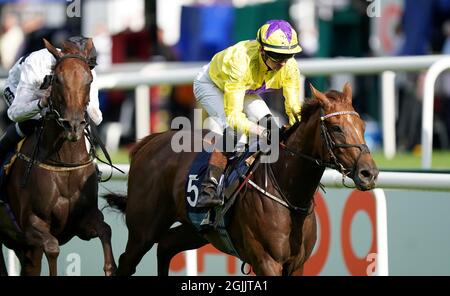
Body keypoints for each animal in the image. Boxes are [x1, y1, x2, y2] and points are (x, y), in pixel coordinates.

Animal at [0, 38, 116, 276]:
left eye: (89, 80)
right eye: (57, 80)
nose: (73, 125)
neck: (64, 164)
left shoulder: (83, 222)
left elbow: (106, 231)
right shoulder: (32, 228)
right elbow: (52, 248)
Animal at [104, 82, 376, 276]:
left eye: (363, 125)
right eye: (336, 128)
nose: (369, 173)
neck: (289, 193)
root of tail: (150, 141)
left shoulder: (296, 264)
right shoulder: (267, 262)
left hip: (196, 230)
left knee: (166, 246)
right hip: (143, 230)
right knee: (127, 261)